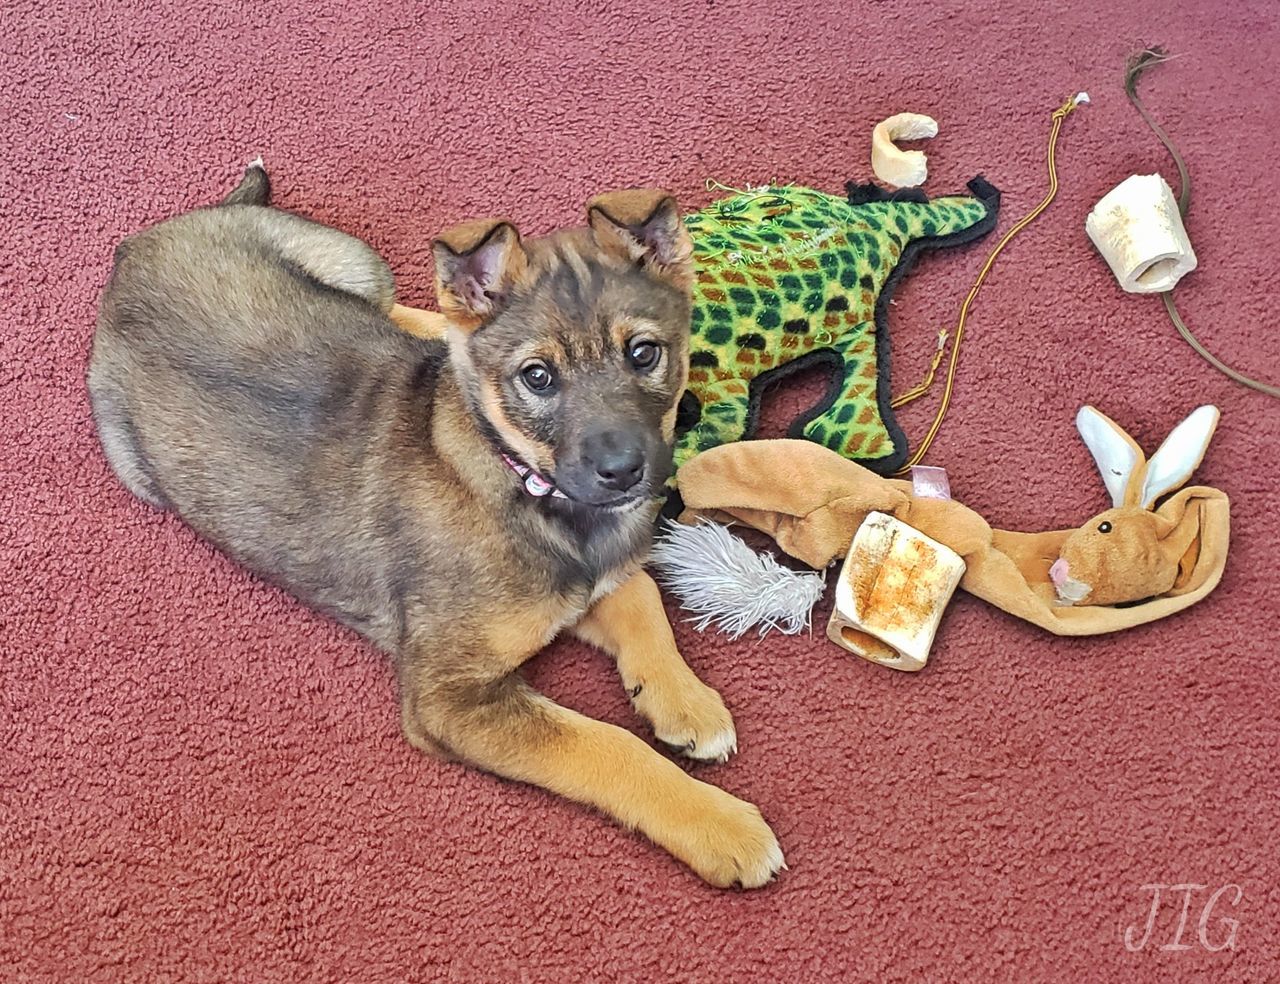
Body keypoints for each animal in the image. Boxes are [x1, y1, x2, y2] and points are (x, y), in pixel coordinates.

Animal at [87, 165, 778, 885]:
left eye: (644, 353)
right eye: (537, 377)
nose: (624, 472)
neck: (518, 478)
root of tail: (141, 245)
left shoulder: (585, 580)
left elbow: (641, 598)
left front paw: (685, 701)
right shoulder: (449, 698)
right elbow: (607, 744)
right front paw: (721, 824)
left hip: (355, 268)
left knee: (417, 318)